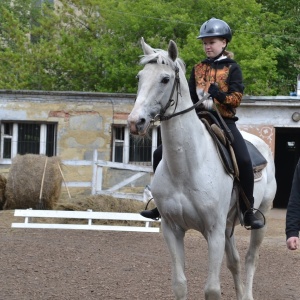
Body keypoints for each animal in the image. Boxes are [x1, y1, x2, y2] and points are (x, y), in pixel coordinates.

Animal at [127, 38, 276, 298]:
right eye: (139, 77)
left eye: (165, 79)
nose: (136, 122)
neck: (186, 168)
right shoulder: (173, 229)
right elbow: (179, 284)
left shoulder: (214, 231)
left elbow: (212, 289)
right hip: (228, 226)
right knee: (236, 262)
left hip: (259, 220)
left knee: (250, 259)